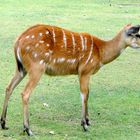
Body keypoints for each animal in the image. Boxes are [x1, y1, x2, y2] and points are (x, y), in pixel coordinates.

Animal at [0, 23, 140, 135]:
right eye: (136, 34)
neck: (101, 52)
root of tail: (18, 41)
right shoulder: (84, 71)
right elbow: (84, 95)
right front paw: (84, 125)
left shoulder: (84, 73)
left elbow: (88, 93)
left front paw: (88, 121)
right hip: (37, 68)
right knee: (25, 93)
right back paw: (28, 129)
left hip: (21, 69)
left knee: (9, 87)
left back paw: (4, 123)